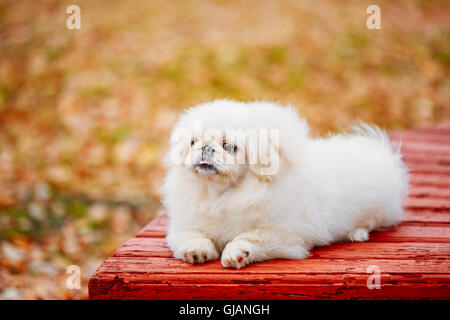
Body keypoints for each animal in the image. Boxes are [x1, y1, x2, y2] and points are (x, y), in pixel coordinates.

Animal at [163, 99, 412, 268]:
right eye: (193, 142)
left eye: (229, 146)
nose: (205, 148)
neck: (223, 195)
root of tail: (380, 152)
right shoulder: (185, 225)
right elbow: (191, 236)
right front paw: (196, 251)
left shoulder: (284, 236)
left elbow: (248, 236)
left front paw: (236, 253)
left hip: (377, 209)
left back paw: (356, 233)